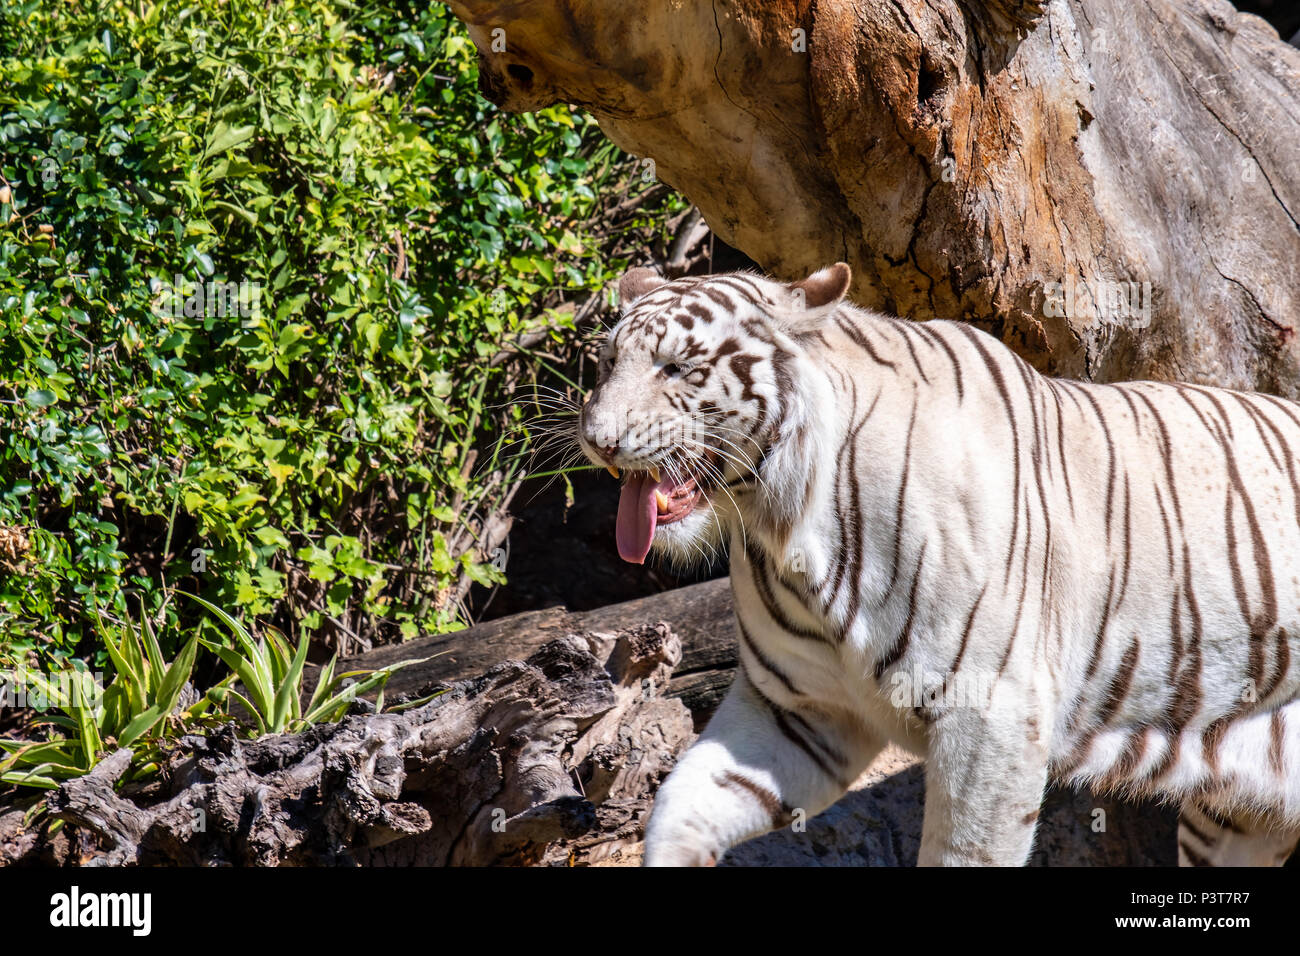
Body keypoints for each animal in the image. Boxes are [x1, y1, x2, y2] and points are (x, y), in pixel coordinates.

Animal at [577, 261, 1300, 868]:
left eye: (674, 368)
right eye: (608, 363)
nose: (598, 441)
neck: (789, 526)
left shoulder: (991, 716)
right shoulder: (800, 710)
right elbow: (682, 806)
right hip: (1238, 817)